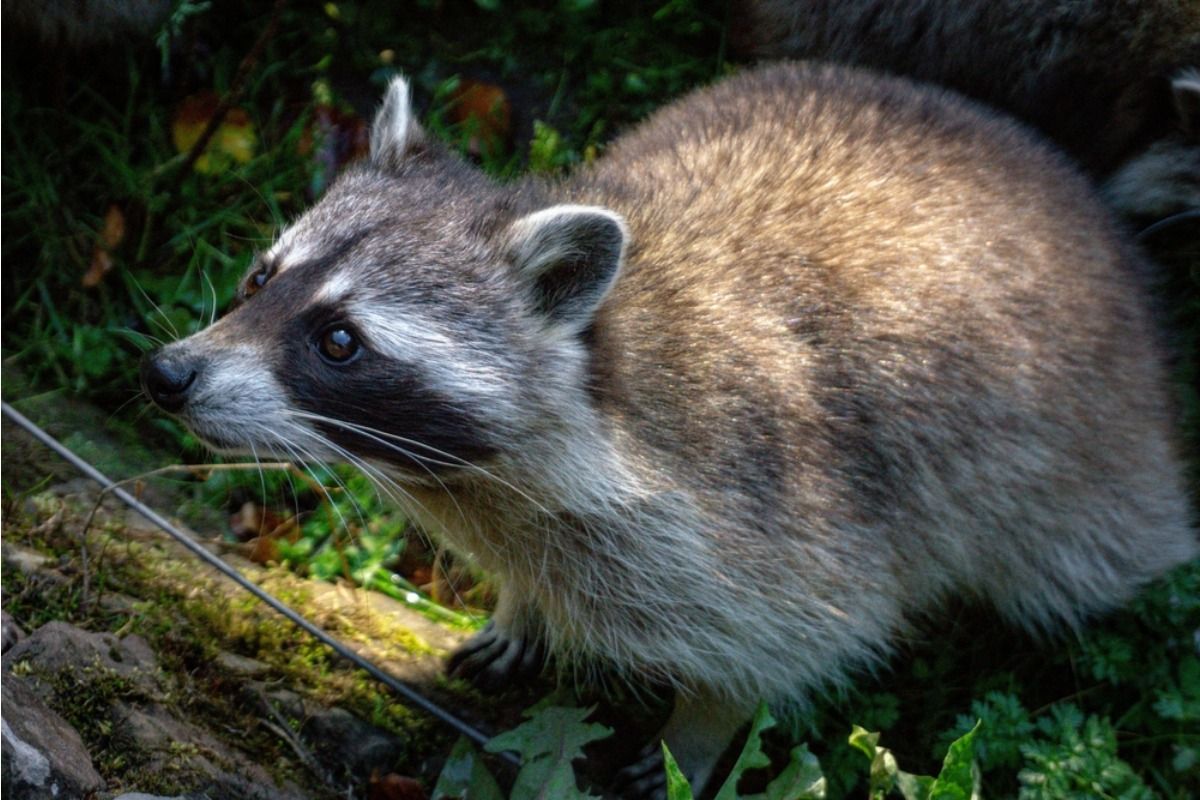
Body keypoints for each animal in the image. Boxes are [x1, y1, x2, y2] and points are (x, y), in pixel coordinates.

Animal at [141, 63, 1197, 797]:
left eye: (339, 341)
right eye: (261, 277)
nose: (166, 376)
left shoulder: (777, 511)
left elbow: (786, 638)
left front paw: (698, 734)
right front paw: (523, 605)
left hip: (1084, 465)